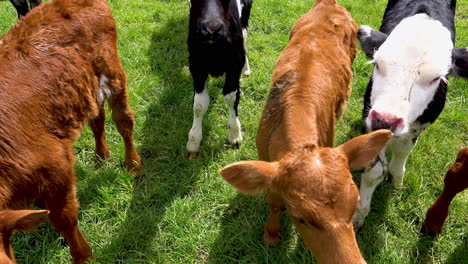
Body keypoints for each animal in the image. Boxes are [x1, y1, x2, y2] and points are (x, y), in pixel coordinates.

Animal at [0, 0, 142, 262]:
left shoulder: (57, 167)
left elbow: (64, 218)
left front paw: (83, 254)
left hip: (111, 72)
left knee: (123, 121)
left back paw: (133, 164)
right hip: (87, 88)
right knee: (98, 120)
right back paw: (101, 156)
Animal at [186, 0, 252, 158]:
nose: (212, 29)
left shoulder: (235, 63)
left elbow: (231, 97)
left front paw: (235, 135)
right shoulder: (196, 65)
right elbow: (199, 105)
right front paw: (194, 141)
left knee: (245, 34)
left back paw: (246, 68)